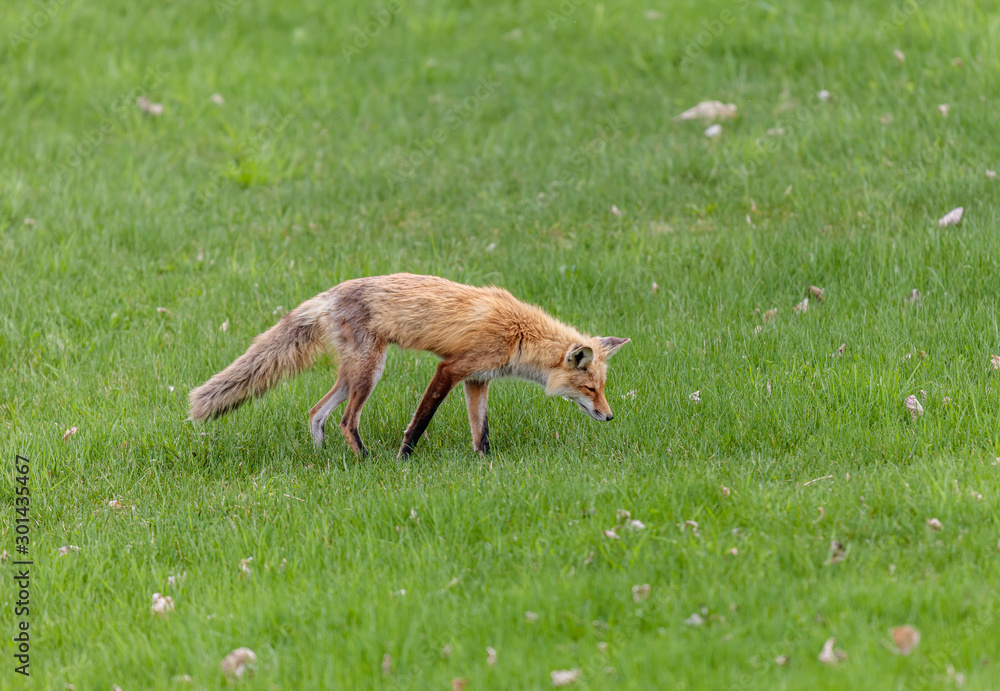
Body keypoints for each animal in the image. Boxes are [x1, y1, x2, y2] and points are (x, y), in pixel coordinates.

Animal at [188, 273, 630, 459]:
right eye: (591, 389)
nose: (610, 417)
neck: (518, 333)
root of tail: (328, 294)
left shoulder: (477, 380)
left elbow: (481, 432)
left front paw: (486, 464)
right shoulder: (451, 369)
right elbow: (420, 420)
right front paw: (404, 459)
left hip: (353, 374)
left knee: (316, 412)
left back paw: (322, 456)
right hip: (371, 371)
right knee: (347, 420)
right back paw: (367, 461)